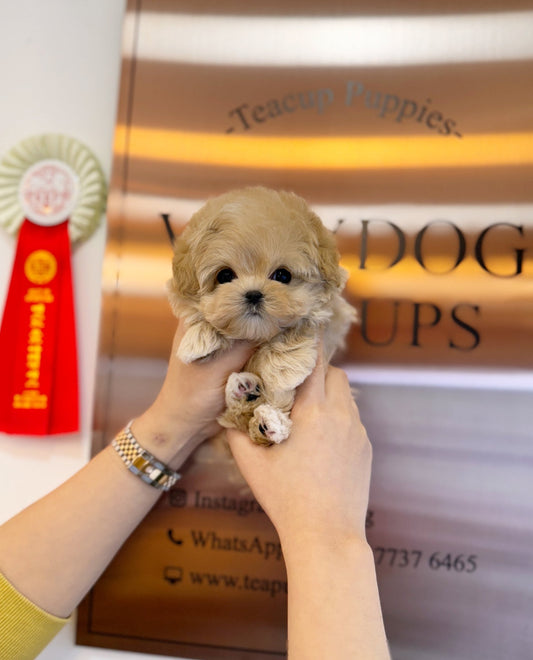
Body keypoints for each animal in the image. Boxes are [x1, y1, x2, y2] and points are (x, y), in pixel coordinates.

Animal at [168, 186, 356, 446]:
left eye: (283, 275)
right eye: (224, 275)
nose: (253, 294)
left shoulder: (333, 315)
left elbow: (300, 324)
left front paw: (283, 369)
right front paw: (199, 338)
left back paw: (268, 420)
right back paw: (245, 394)